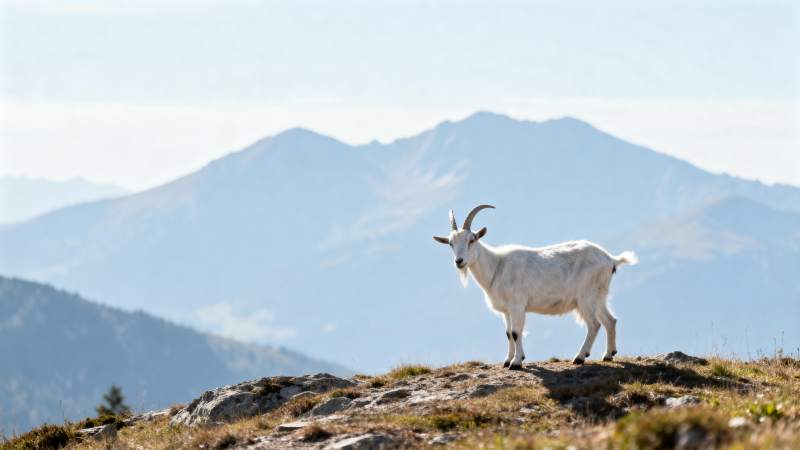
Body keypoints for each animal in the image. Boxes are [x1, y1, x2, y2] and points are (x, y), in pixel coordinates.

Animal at [433, 205, 638, 369]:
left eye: (472, 240)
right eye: (450, 243)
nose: (459, 261)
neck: (497, 266)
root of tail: (610, 259)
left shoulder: (517, 305)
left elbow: (516, 332)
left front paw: (516, 363)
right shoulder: (506, 310)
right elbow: (508, 333)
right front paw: (507, 360)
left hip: (585, 297)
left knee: (594, 324)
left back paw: (579, 357)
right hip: (599, 295)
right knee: (610, 320)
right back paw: (608, 355)